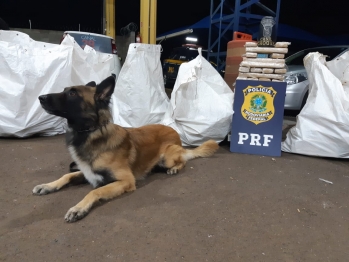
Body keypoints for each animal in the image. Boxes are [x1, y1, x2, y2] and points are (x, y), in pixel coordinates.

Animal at [32, 75, 218, 221]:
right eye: (65, 90)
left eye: (72, 93)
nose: (40, 97)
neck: (92, 133)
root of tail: (175, 132)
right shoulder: (88, 172)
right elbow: (67, 175)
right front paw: (47, 185)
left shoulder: (125, 180)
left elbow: (95, 192)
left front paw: (78, 208)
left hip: (167, 157)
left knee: (184, 160)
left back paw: (175, 169)